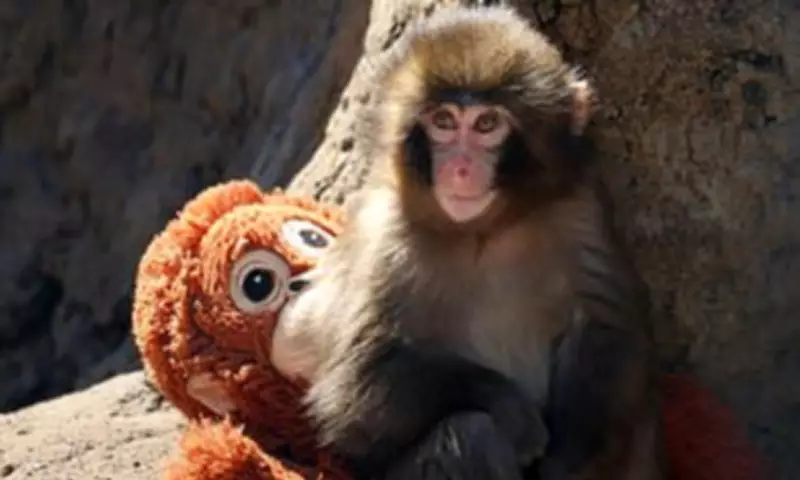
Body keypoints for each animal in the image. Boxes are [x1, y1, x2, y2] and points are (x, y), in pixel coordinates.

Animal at [272, 4, 667, 479]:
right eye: (443, 122)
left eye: (486, 124)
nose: (459, 168)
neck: (484, 231)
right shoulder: (385, 237)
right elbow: (356, 390)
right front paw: (510, 408)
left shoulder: (578, 211)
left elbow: (606, 330)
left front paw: (568, 458)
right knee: (470, 435)